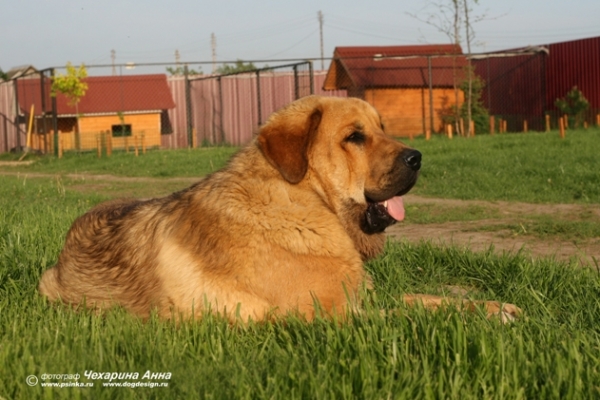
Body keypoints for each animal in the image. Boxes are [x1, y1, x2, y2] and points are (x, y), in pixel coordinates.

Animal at [38, 96, 520, 322]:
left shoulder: (360, 296)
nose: (417, 157)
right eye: (355, 137)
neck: (305, 202)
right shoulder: (333, 315)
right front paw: (488, 321)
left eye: (383, 128)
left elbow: (430, 300)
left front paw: (494, 308)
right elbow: (408, 315)